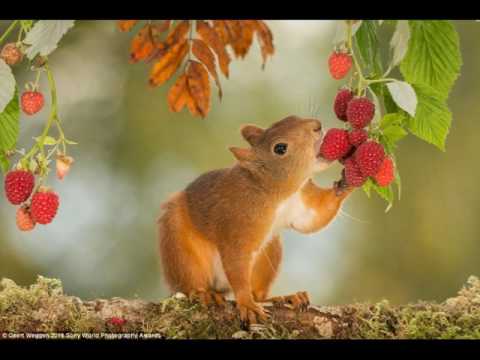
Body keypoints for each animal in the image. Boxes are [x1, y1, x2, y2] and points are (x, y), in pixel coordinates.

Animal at [158, 116, 352, 326]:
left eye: (291, 117)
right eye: (280, 148)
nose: (317, 125)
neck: (274, 192)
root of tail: (220, 287)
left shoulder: (301, 202)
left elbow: (314, 218)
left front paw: (348, 180)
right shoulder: (237, 222)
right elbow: (236, 260)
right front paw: (246, 304)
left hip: (270, 251)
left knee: (259, 294)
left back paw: (286, 297)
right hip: (179, 247)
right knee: (189, 283)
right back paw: (204, 294)